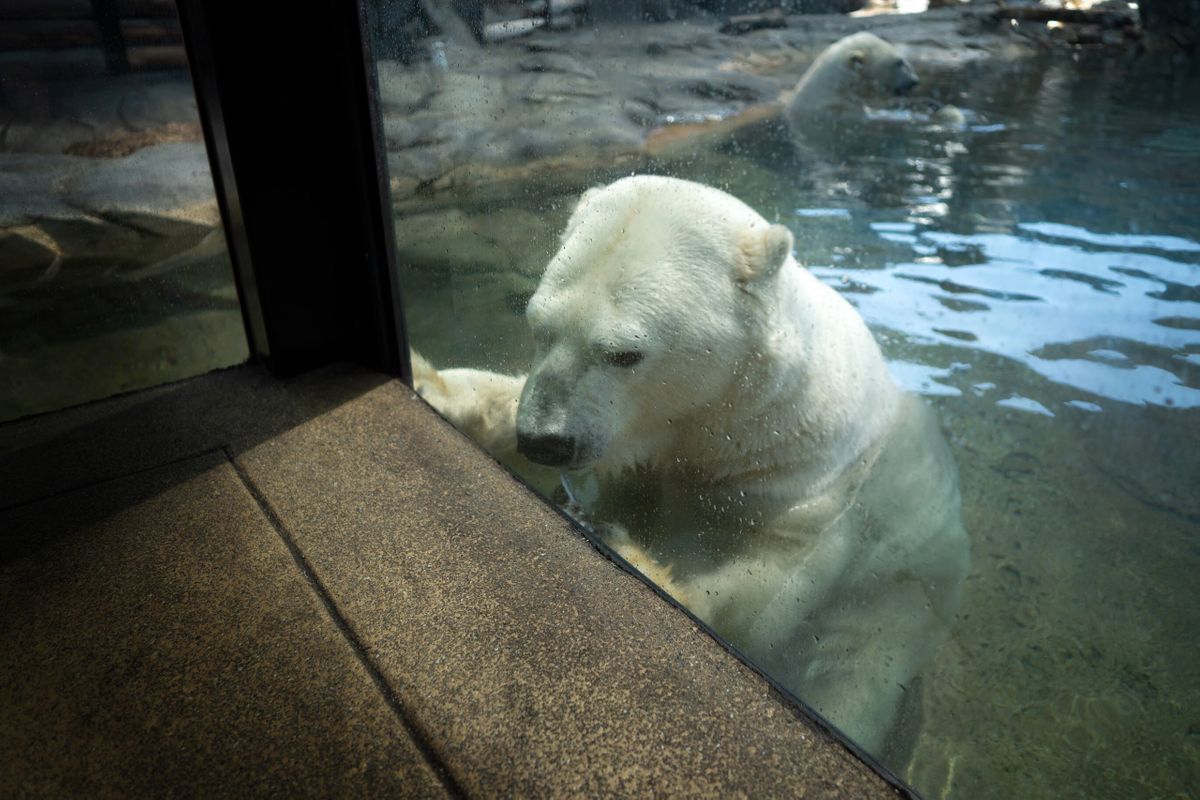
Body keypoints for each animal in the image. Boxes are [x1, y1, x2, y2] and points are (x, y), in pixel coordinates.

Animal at [412, 175, 964, 758]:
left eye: (625, 354)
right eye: (539, 324)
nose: (546, 441)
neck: (722, 417)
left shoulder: (803, 474)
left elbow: (767, 588)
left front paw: (640, 558)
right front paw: (435, 385)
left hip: (899, 594)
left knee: (851, 676)